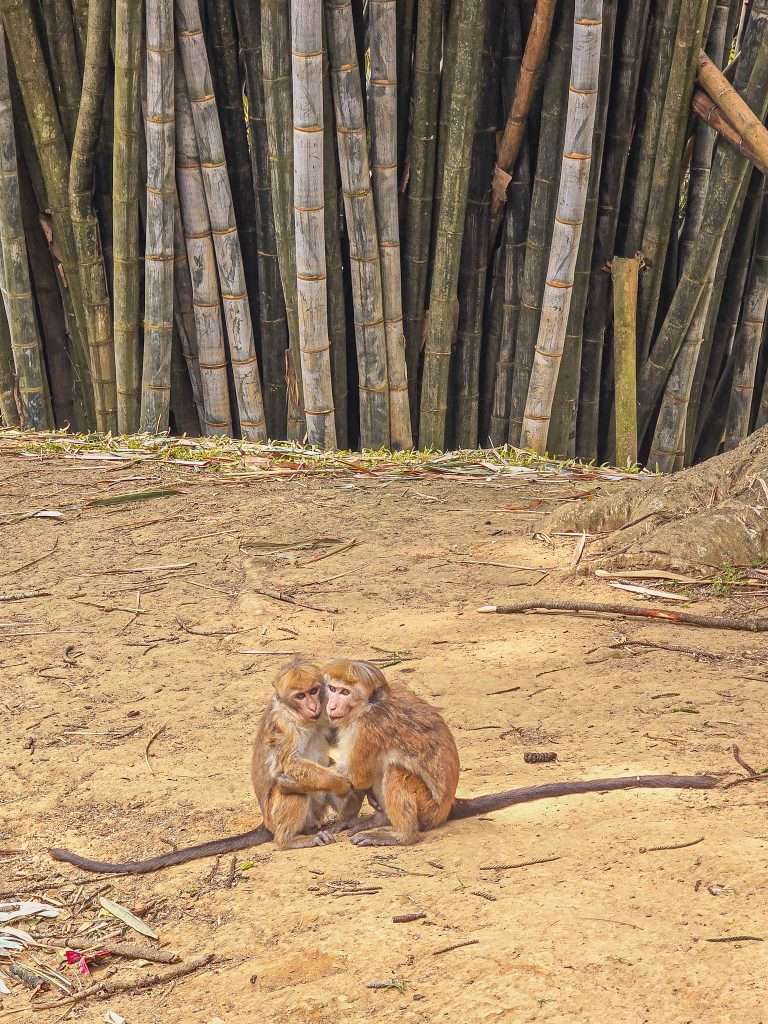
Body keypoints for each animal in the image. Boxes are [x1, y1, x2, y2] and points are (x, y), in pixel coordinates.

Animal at [48, 661, 720, 873]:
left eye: (337, 690)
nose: (326, 704)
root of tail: (448, 808)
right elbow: (305, 769)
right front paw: (339, 801)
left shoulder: (364, 726)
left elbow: (361, 772)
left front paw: (355, 800)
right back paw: (306, 835)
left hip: (428, 807)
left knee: (393, 778)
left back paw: (396, 833)